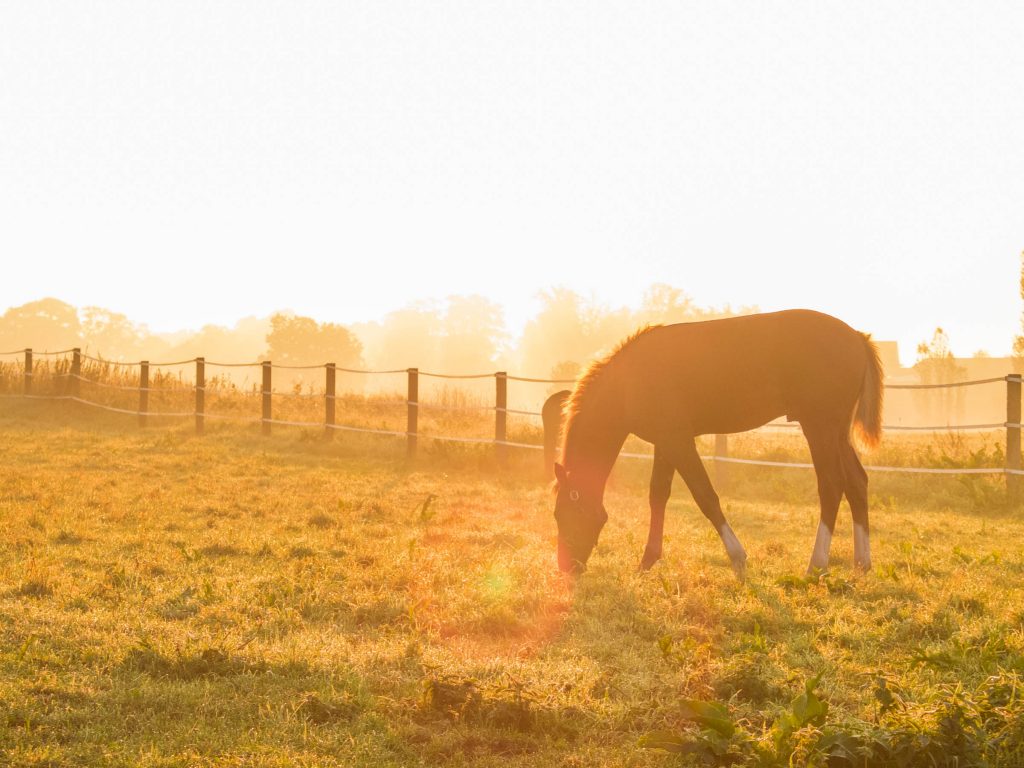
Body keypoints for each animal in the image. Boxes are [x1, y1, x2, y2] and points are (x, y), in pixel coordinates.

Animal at [552, 309, 880, 581]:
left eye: (561, 514)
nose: (566, 567)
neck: (630, 381)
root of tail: (857, 336)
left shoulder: (679, 441)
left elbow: (705, 495)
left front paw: (738, 558)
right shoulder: (665, 442)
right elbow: (658, 495)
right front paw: (647, 561)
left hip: (819, 429)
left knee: (831, 485)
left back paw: (817, 564)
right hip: (837, 433)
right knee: (856, 482)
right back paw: (861, 564)